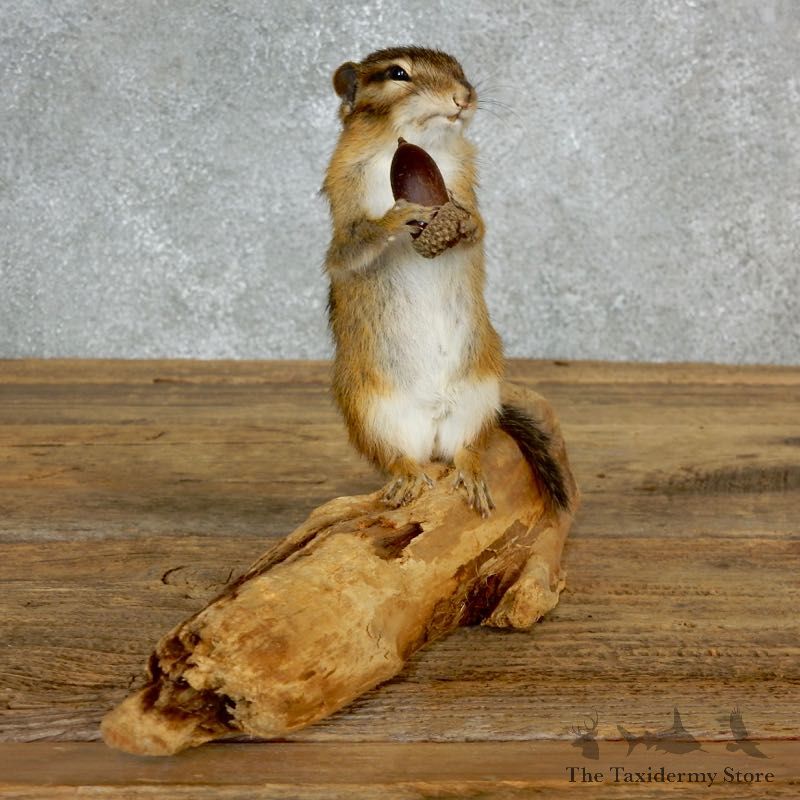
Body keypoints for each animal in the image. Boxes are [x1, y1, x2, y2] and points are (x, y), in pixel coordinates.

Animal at [322, 46, 569, 517]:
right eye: (397, 73)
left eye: (459, 69)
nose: (464, 96)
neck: (415, 144)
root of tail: (433, 421)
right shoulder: (344, 203)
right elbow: (348, 250)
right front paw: (395, 218)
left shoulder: (464, 181)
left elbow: (480, 226)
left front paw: (465, 224)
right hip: (369, 411)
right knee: (397, 456)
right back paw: (406, 476)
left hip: (480, 394)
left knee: (467, 446)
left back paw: (470, 473)